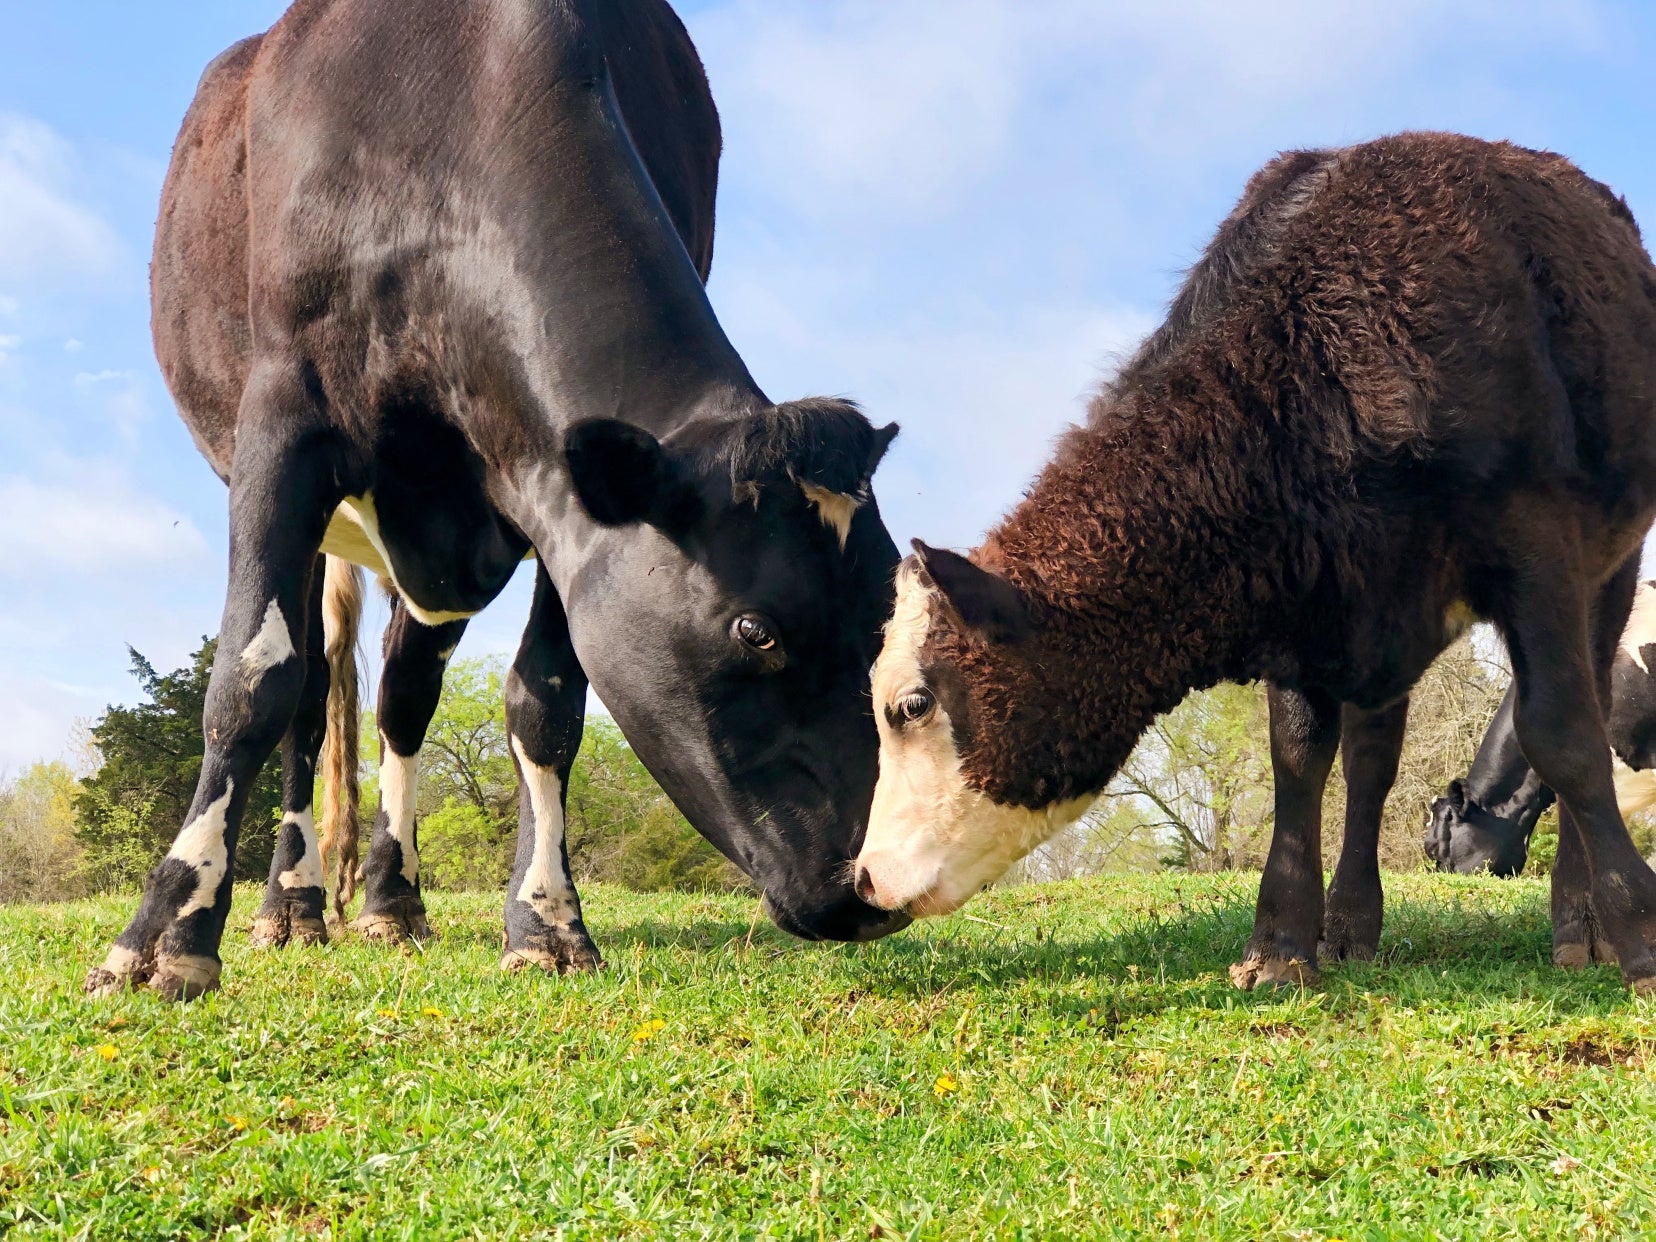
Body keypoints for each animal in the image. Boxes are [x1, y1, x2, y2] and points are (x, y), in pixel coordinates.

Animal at [85, 0, 914, 1000]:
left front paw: (547, 921)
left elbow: (545, 706)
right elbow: (252, 683)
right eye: (756, 630)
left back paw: (392, 902)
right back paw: (292, 906)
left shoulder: (559, 501)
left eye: (886, 621)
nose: (872, 890)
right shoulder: (283, 420)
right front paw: (165, 933)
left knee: (402, 695)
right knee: (314, 693)